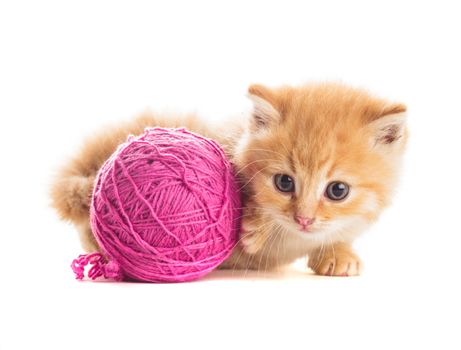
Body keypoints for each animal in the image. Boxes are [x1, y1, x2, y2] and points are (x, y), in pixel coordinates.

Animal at [50, 82, 406, 276]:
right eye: (284, 183)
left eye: (338, 190)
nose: (304, 219)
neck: (296, 239)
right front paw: (256, 227)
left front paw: (337, 254)